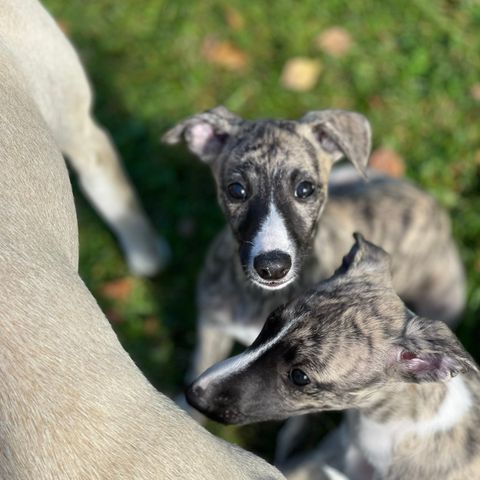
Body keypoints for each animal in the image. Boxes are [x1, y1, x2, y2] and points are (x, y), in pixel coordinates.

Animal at [163, 106, 464, 382]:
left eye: (305, 189)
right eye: (236, 190)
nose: (272, 267)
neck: (261, 297)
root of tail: (434, 206)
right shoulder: (211, 328)